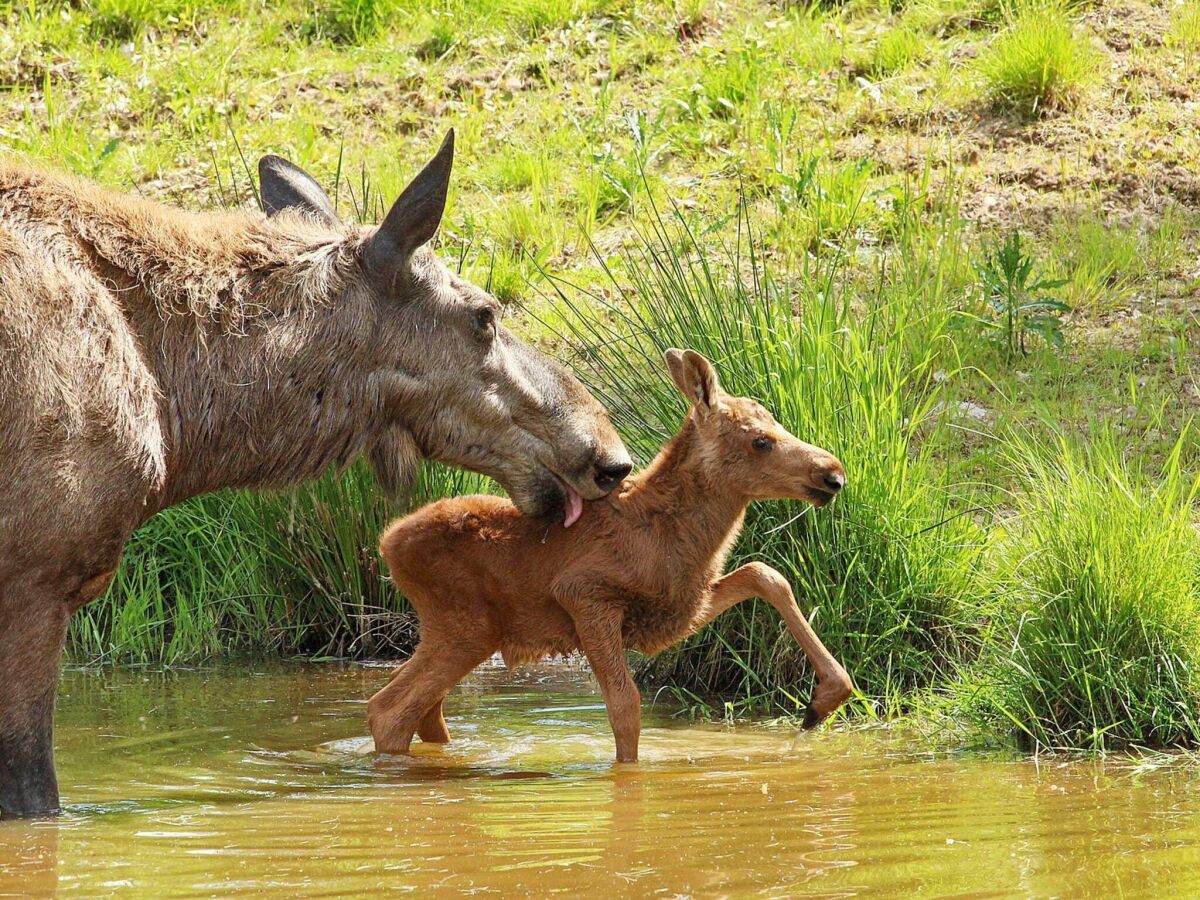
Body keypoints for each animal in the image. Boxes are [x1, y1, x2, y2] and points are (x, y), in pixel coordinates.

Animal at [374, 350, 854, 763]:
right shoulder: (585, 595)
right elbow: (626, 706)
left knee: (419, 706)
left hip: (457, 631)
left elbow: (765, 573)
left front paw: (825, 698)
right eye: (760, 441)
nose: (833, 474)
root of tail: (387, 542)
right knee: (389, 709)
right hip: (466, 627)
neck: (671, 536)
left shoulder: (677, 608)